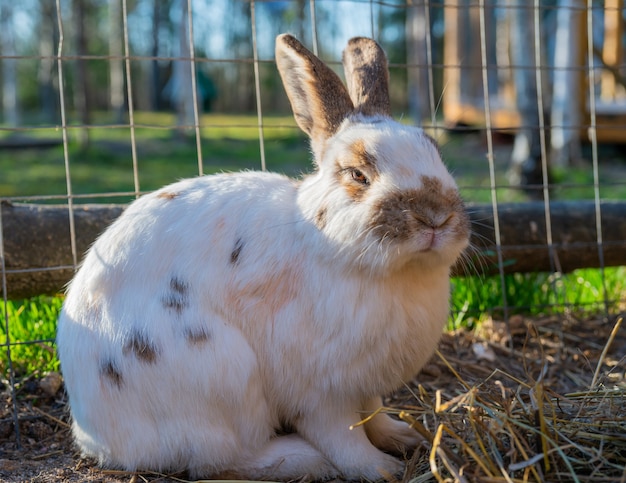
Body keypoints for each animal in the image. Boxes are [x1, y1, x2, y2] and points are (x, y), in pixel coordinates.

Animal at [57, 33, 468, 480]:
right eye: (358, 174)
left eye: (436, 153)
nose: (435, 216)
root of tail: (93, 438)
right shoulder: (320, 391)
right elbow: (343, 436)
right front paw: (381, 468)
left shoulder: (365, 384)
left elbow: (373, 415)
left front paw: (403, 437)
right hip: (223, 377)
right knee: (226, 457)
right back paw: (303, 458)